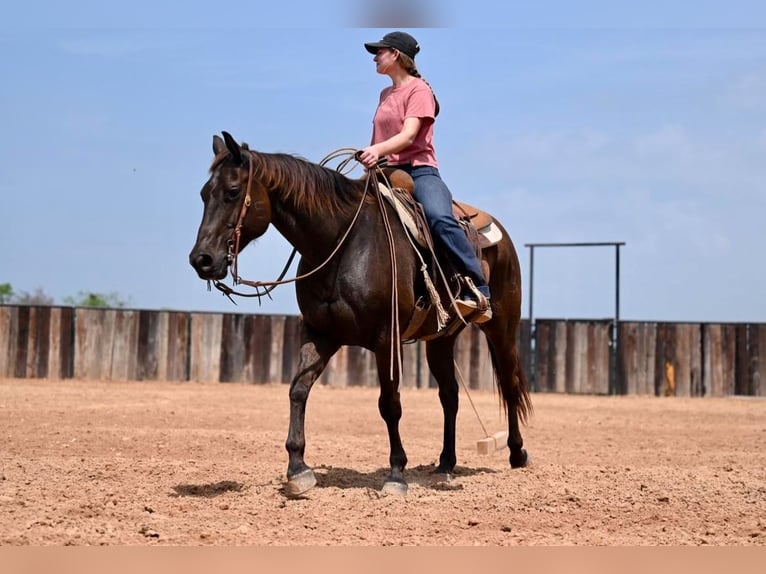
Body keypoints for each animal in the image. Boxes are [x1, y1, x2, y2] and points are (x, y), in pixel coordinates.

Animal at [189, 133, 532, 498]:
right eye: (204, 194)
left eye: (232, 192)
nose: (202, 260)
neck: (341, 243)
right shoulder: (320, 334)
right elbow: (298, 389)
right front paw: (298, 469)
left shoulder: (386, 340)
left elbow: (389, 404)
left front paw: (396, 473)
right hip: (440, 339)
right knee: (450, 396)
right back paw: (445, 465)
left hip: (502, 328)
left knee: (509, 384)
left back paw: (516, 453)